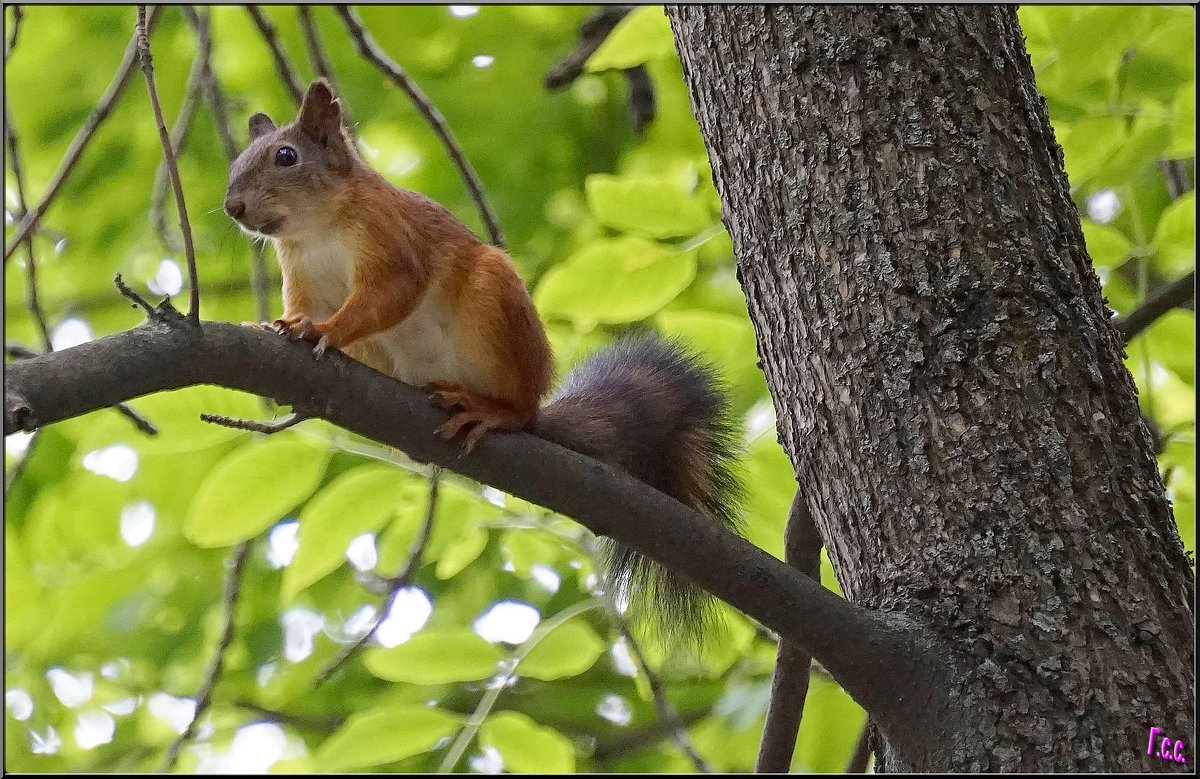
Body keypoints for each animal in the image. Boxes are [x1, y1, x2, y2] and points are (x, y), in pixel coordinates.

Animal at [219, 79, 734, 643]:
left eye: (286, 157)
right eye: (238, 161)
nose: (233, 207)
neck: (317, 228)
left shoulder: (390, 239)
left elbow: (388, 295)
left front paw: (325, 331)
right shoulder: (300, 275)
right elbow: (301, 307)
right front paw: (276, 326)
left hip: (495, 305)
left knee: (521, 410)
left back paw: (491, 410)